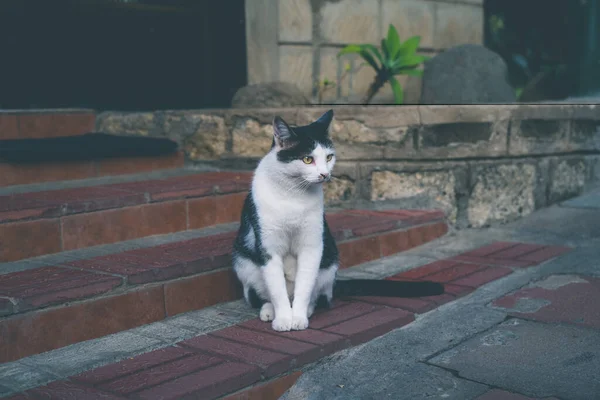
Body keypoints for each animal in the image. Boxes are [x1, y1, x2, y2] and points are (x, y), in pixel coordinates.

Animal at [232, 108, 442, 332]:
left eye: (329, 157)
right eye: (308, 159)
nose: (325, 174)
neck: (293, 194)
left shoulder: (313, 245)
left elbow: (305, 286)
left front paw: (298, 317)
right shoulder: (268, 247)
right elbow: (277, 289)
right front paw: (283, 319)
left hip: (329, 263)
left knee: (321, 296)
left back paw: (307, 309)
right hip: (244, 264)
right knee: (263, 294)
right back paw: (269, 310)